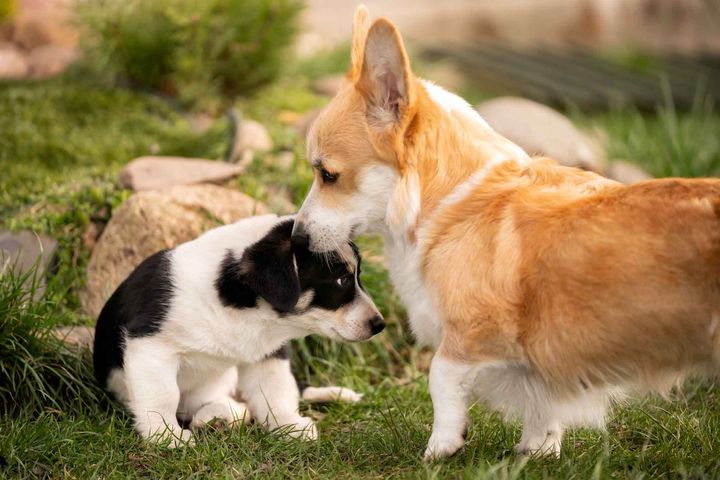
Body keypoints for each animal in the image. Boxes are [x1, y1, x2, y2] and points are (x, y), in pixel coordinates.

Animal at [93, 214, 386, 446]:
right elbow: (162, 396)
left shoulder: (267, 354)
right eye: (341, 280)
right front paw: (165, 436)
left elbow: (276, 390)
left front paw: (288, 426)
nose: (379, 325)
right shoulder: (149, 346)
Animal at [290, 5, 720, 460]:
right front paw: (537, 452)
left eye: (327, 174)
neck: (449, 198)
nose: (296, 239)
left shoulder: (474, 330)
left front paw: (441, 447)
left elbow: (440, 376)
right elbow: (541, 406)